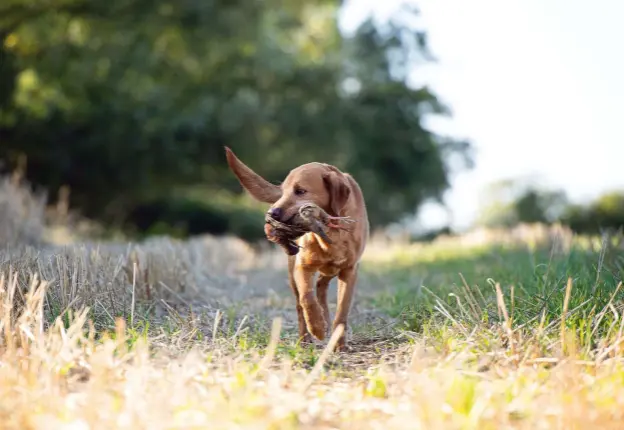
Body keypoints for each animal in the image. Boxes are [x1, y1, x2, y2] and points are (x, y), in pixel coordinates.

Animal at [225, 146, 368, 352]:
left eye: (300, 191)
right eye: (283, 192)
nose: (271, 213)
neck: (330, 233)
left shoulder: (349, 271)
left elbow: (342, 312)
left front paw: (339, 344)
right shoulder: (302, 267)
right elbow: (307, 298)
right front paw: (317, 327)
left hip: (331, 270)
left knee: (321, 285)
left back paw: (324, 318)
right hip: (293, 274)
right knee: (301, 303)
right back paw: (306, 337)